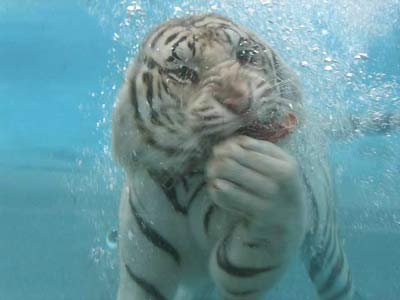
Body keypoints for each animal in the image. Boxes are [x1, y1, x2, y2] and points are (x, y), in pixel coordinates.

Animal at [112, 13, 360, 300]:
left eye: (244, 54)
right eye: (183, 72)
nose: (241, 101)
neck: (194, 177)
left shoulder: (244, 270)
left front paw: (264, 183)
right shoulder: (142, 272)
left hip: (327, 253)